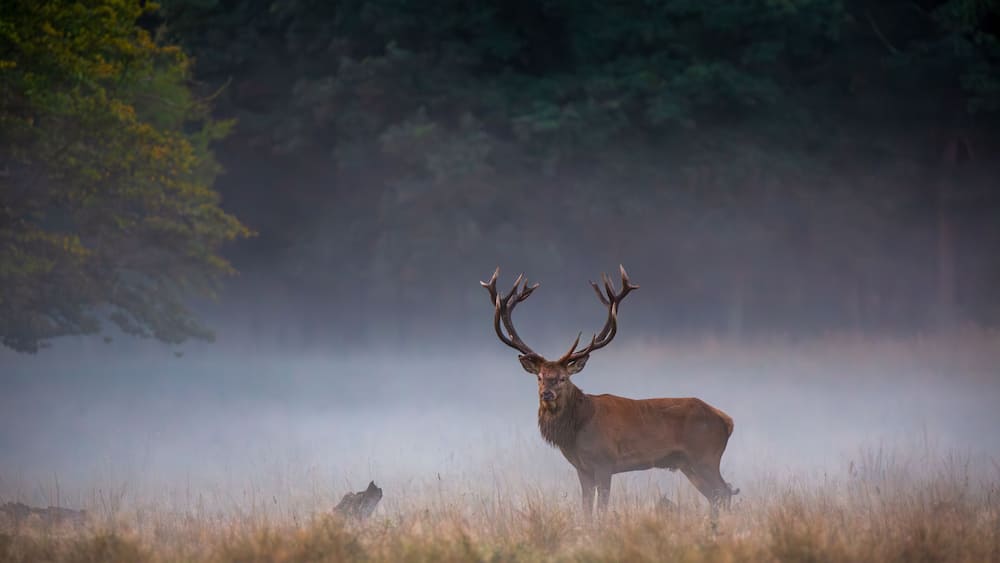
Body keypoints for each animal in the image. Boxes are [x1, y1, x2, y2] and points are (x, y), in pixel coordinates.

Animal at [481, 265, 739, 519]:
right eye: (540, 377)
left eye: (563, 378)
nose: (547, 394)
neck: (576, 430)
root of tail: (727, 421)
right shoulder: (582, 468)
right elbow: (586, 509)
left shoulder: (605, 462)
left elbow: (602, 509)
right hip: (687, 464)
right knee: (717, 496)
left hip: (705, 456)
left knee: (724, 492)